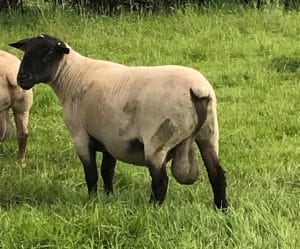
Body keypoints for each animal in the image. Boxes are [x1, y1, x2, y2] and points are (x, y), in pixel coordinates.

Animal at [10, 34, 229, 210]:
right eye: (26, 51)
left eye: (48, 52)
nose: (22, 78)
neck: (71, 77)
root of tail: (197, 89)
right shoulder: (110, 139)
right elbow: (107, 171)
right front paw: (108, 198)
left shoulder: (80, 136)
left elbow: (91, 173)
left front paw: (92, 199)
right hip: (209, 134)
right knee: (217, 174)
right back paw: (221, 209)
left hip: (158, 139)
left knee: (160, 181)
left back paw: (153, 209)